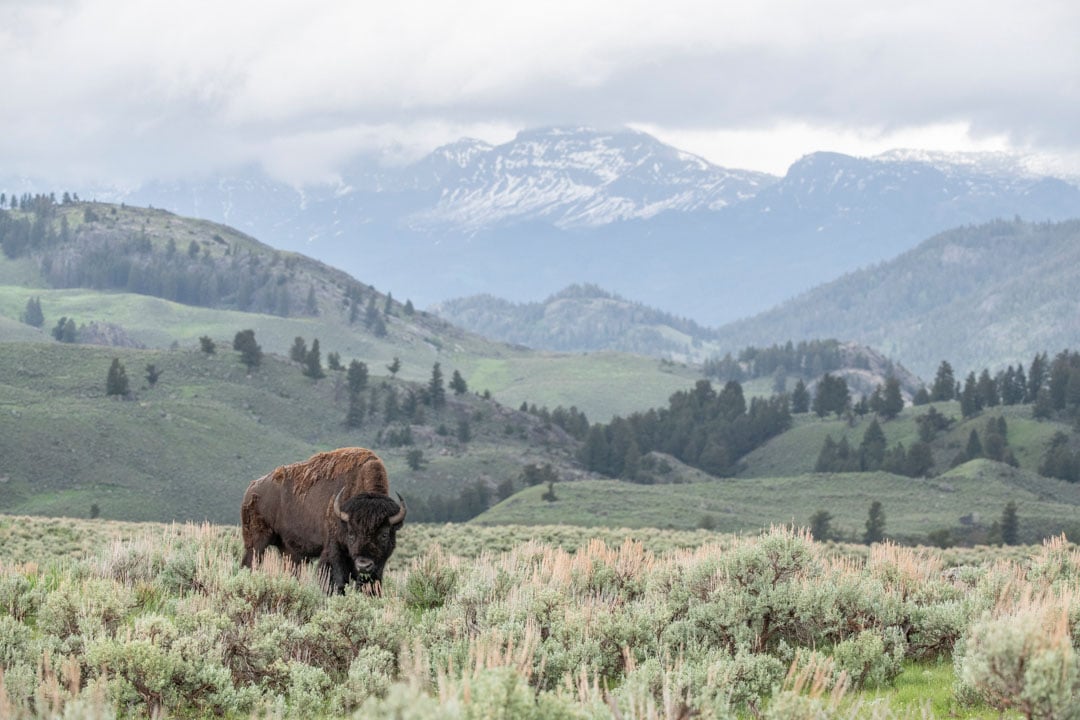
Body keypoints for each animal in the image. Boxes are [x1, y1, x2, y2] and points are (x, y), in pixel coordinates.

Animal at [240, 447, 406, 593]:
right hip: (257, 542)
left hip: (288, 550)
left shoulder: (378, 564)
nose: (363, 565)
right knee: (250, 563)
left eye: (384, 534)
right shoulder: (333, 550)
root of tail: (252, 488)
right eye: (351, 534)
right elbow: (336, 581)